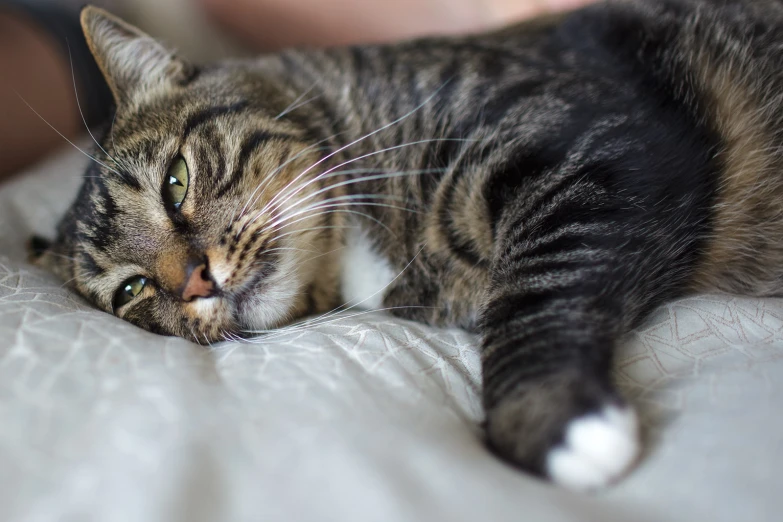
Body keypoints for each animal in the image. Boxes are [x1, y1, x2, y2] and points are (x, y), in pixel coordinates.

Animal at [27, 1, 783, 488]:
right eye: (132, 290)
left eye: (176, 183)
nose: (192, 281)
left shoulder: (585, 137)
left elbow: (534, 294)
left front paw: (551, 419)